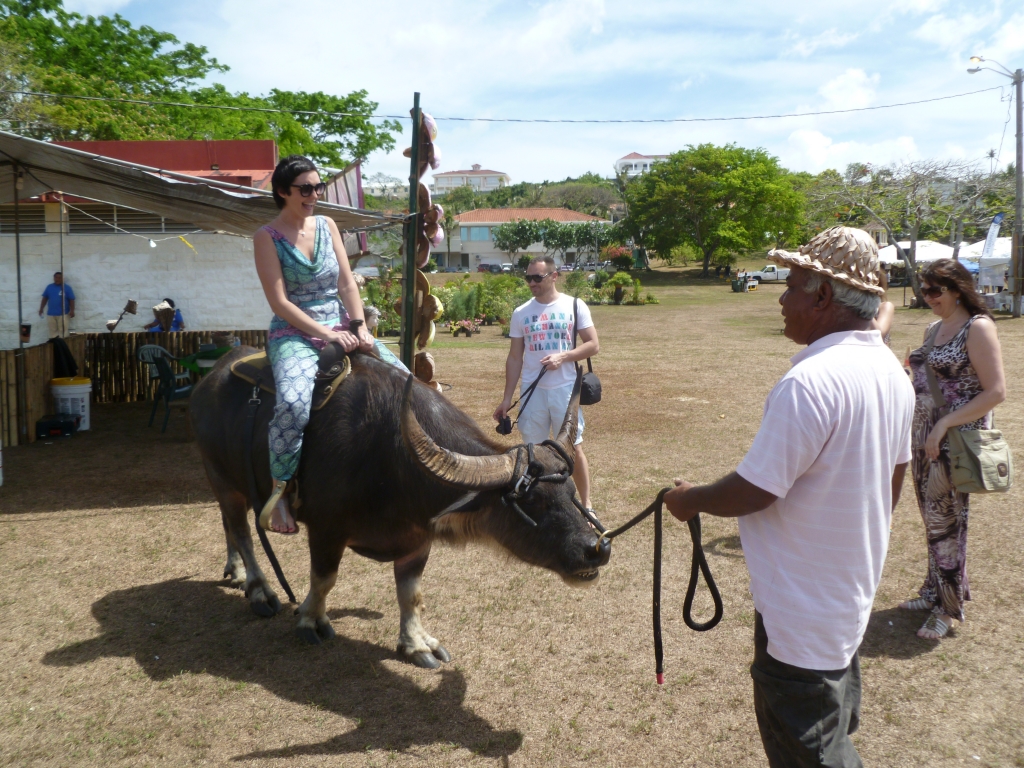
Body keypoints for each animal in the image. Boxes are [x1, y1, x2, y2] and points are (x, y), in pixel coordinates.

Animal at [190, 348, 606, 667]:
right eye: (533, 499)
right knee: (241, 529)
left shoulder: (417, 539)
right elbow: (324, 579)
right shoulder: (325, 529)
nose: (596, 548)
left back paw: (236, 572)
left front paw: (417, 644)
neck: (389, 456)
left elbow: (411, 593)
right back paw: (259, 589)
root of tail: (211, 377)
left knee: (229, 525)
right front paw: (310, 620)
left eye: (572, 491)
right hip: (220, 476)